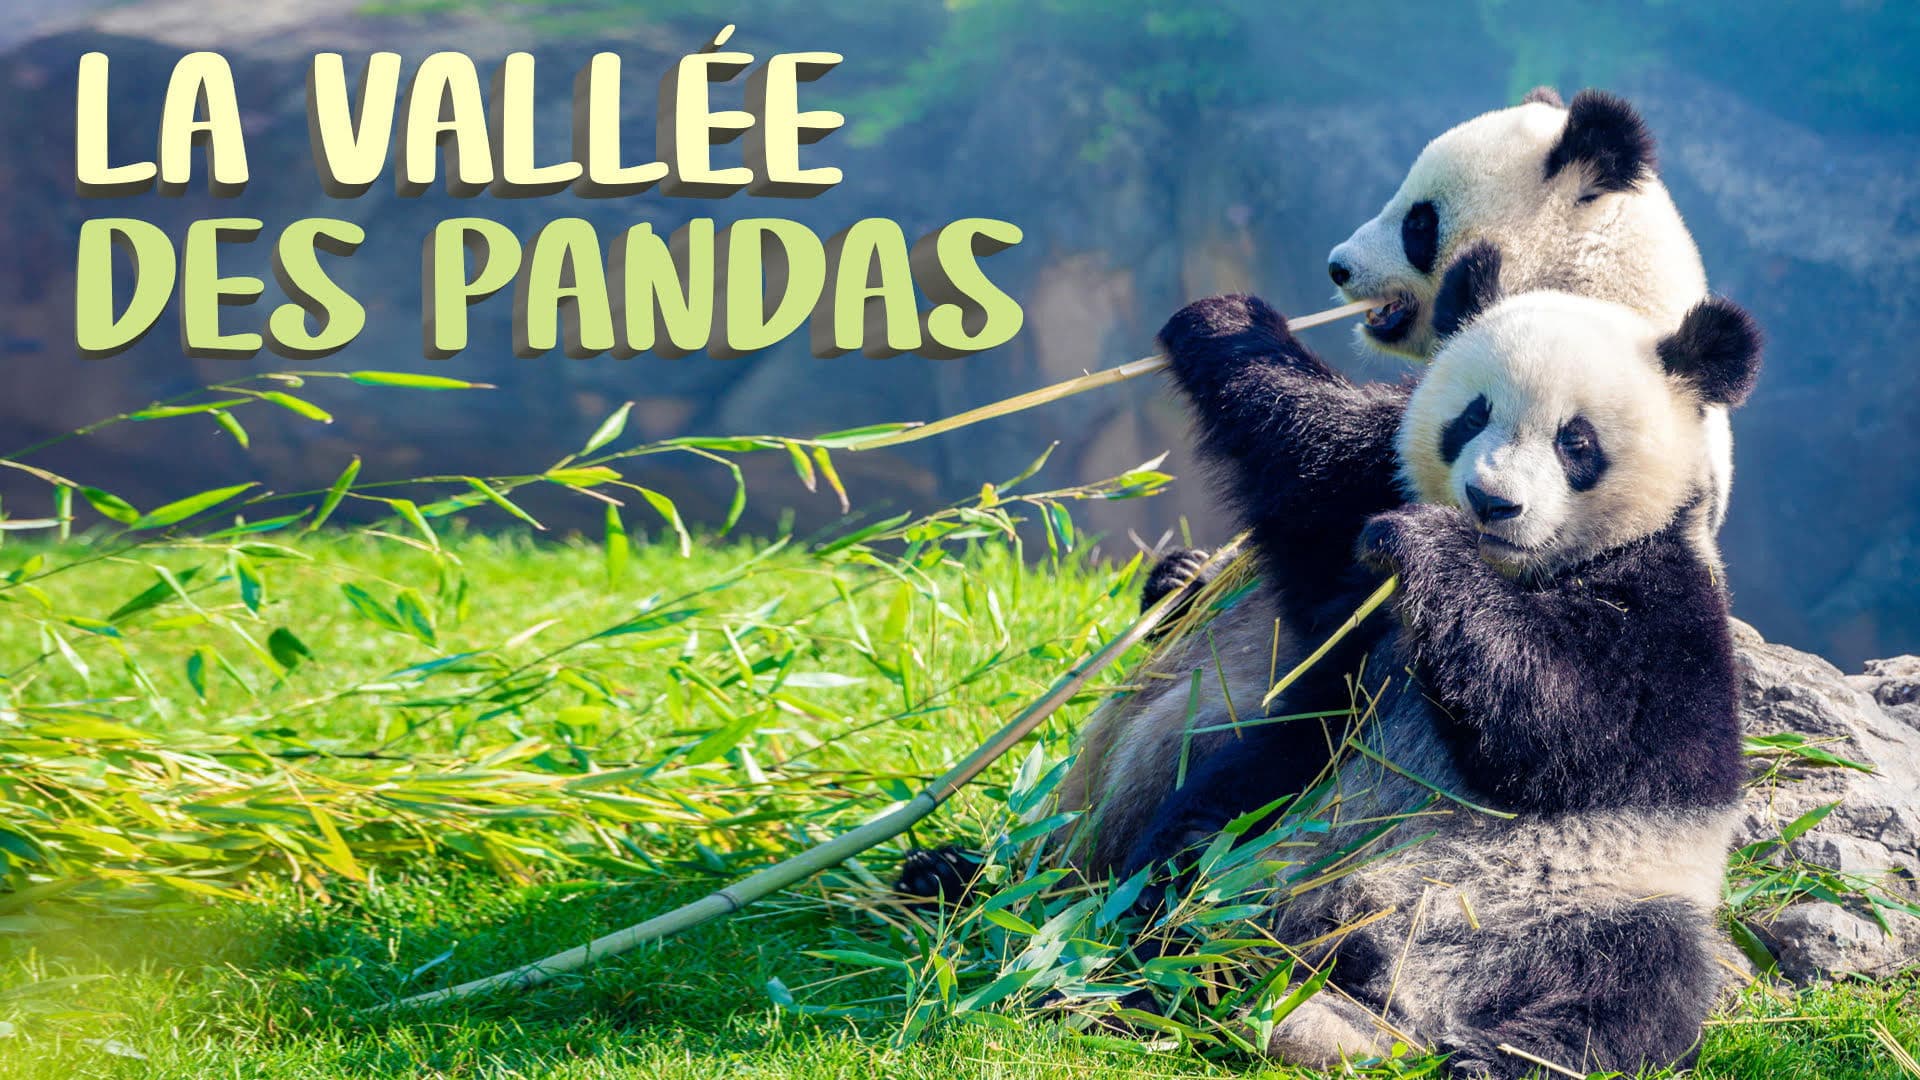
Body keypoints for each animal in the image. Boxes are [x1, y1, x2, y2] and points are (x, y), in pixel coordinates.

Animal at [1115, 252, 1759, 1077]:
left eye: (1576, 442)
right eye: (1471, 417)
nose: (1491, 502)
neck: (1517, 572)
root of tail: (1396, 1001)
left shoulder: (1669, 614)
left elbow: (1571, 723)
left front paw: (1427, 545)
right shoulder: (1363, 526)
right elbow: (1313, 462)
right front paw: (1225, 321)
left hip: (1603, 896)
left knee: (1636, 987)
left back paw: (1494, 1056)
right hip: (1285, 811)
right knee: (1195, 844)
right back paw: (1168, 955)